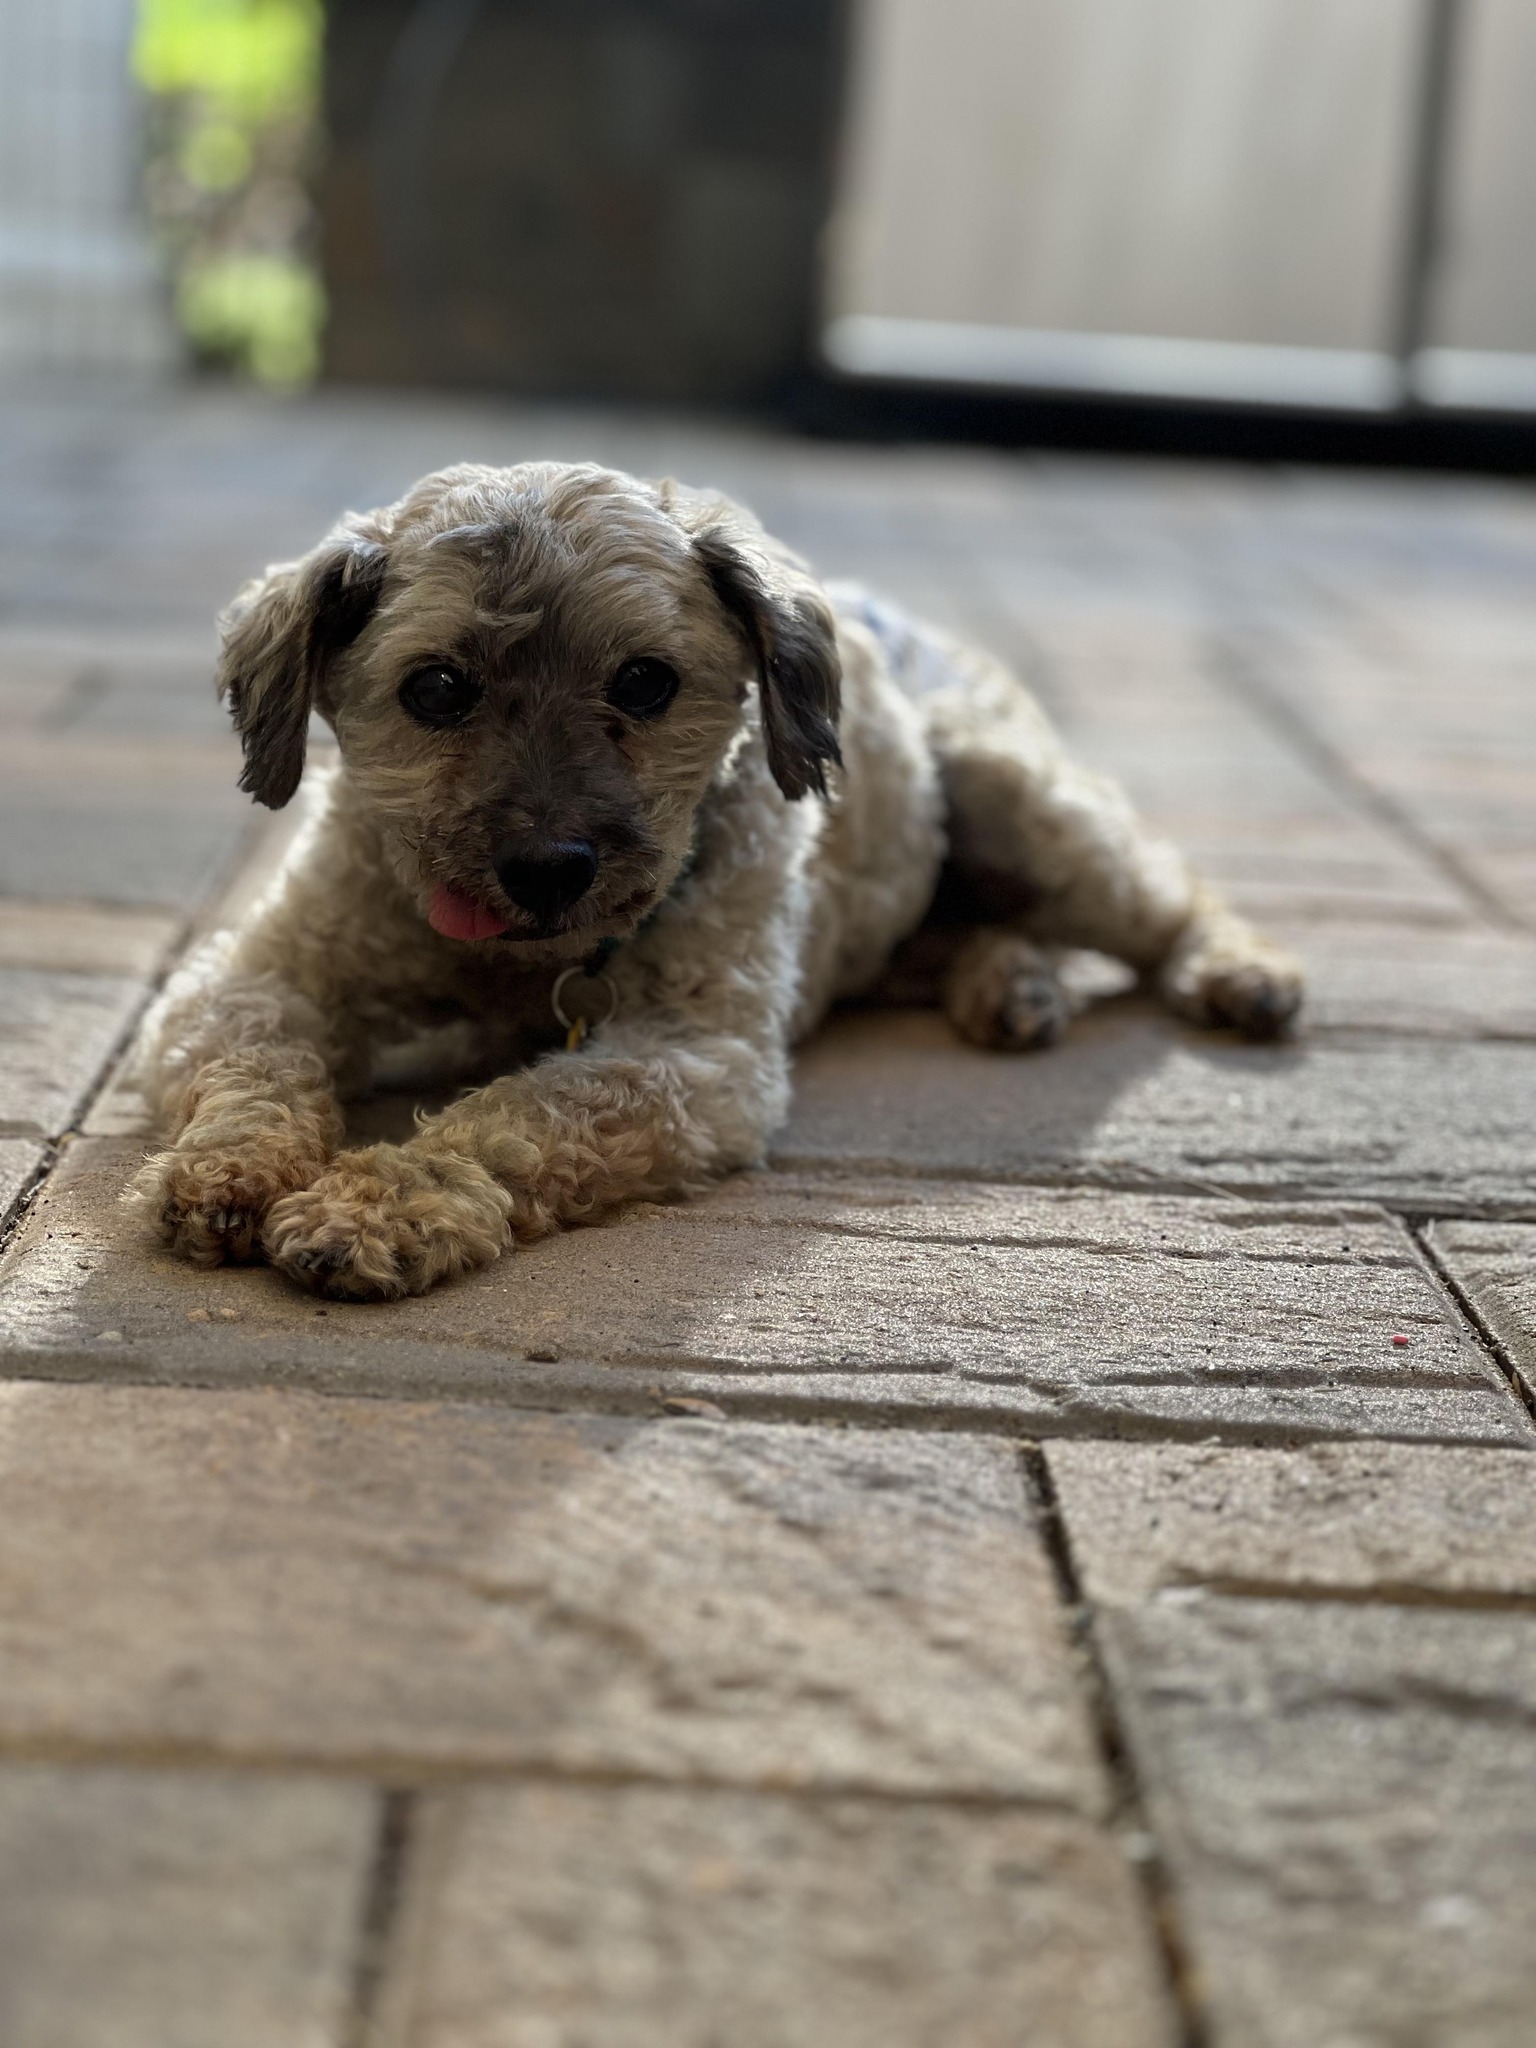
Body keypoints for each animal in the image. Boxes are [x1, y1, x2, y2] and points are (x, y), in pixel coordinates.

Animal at [138, 464, 1302, 1294]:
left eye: (647, 682)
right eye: (435, 688)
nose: (550, 868)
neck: (524, 965)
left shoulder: (695, 1059)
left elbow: (527, 1108)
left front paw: (383, 1201)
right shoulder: (263, 973)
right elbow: (254, 1064)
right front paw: (224, 1169)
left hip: (1009, 794)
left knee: (1166, 896)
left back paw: (1236, 972)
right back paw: (1009, 983)